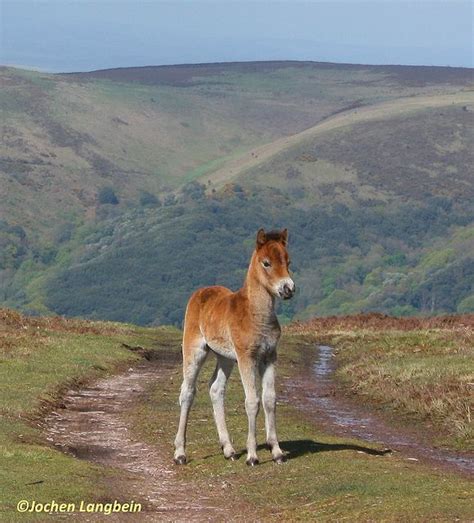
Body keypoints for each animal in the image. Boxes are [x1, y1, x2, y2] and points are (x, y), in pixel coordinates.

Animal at [172, 229, 294, 466]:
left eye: (288, 261)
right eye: (266, 263)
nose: (288, 289)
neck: (255, 314)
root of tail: (200, 292)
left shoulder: (269, 356)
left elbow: (269, 399)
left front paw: (276, 452)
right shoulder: (247, 357)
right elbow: (252, 401)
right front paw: (253, 456)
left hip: (225, 358)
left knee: (216, 389)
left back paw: (228, 449)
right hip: (195, 350)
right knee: (188, 391)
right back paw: (180, 453)